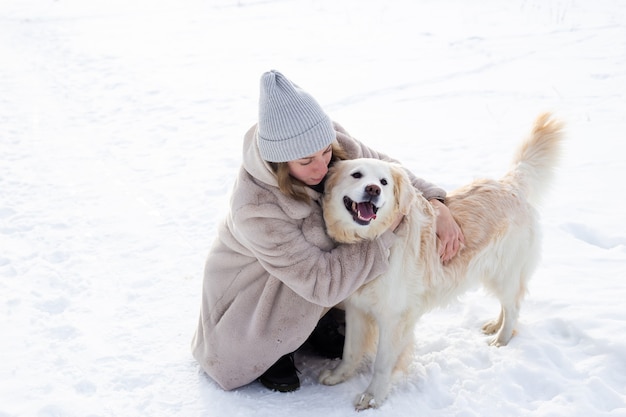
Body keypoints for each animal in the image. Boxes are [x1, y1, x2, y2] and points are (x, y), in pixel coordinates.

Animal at [320, 112, 564, 408]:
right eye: (356, 174)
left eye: (384, 182)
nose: (373, 190)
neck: (372, 239)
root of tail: (509, 184)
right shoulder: (357, 309)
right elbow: (349, 351)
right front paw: (339, 376)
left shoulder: (395, 318)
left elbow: (382, 364)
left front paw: (373, 396)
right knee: (508, 306)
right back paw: (495, 325)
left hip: (504, 274)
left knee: (514, 306)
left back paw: (501, 339)